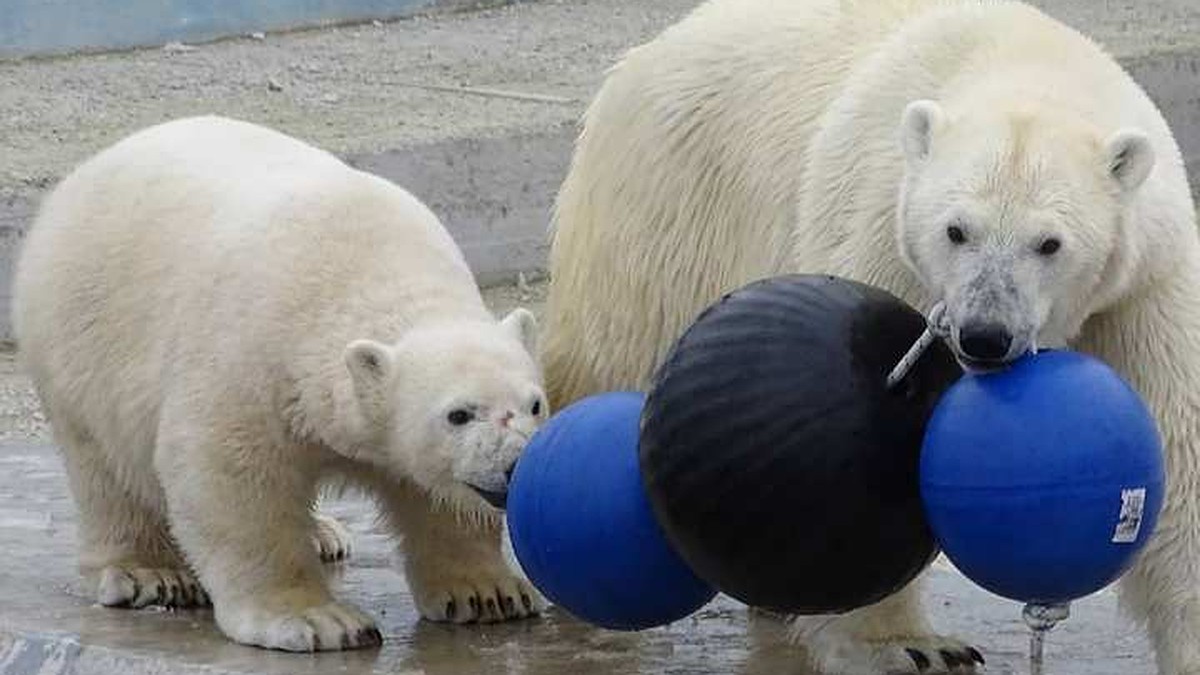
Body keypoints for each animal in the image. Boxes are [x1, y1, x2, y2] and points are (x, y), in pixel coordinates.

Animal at [542, 1, 1200, 672]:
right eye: (956, 230)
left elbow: (1178, 442)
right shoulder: (885, 229)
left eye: (1050, 243)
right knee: (608, 356)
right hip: (665, 208)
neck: (1023, 62)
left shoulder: (1142, 284)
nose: (984, 336)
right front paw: (907, 646)